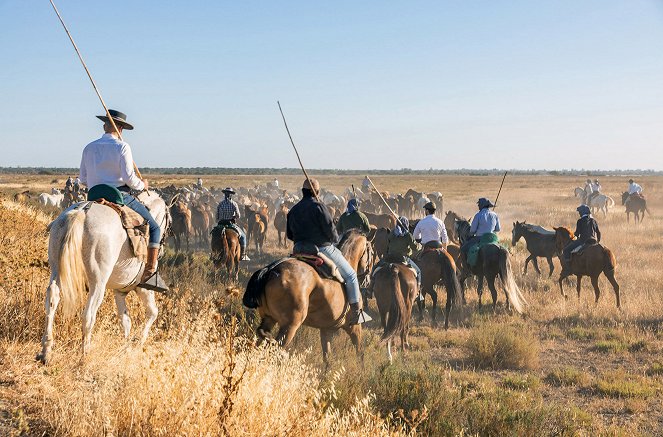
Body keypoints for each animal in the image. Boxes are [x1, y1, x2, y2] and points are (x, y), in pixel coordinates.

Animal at [36, 191, 172, 364]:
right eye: (169, 222)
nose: (162, 248)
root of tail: (82, 211)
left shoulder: (120, 291)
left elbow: (125, 320)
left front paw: (125, 347)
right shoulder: (143, 288)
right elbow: (153, 312)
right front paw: (139, 342)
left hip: (56, 269)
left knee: (51, 299)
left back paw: (46, 350)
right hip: (98, 282)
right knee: (88, 315)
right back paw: (85, 354)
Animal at [243, 228, 374, 362]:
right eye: (372, 253)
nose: (368, 280)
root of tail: (271, 270)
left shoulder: (327, 330)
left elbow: (327, 358)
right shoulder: (354, 327)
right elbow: (360, 353)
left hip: (269, 318)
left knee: (262, 339)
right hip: (290, 326)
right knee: (275, 347)